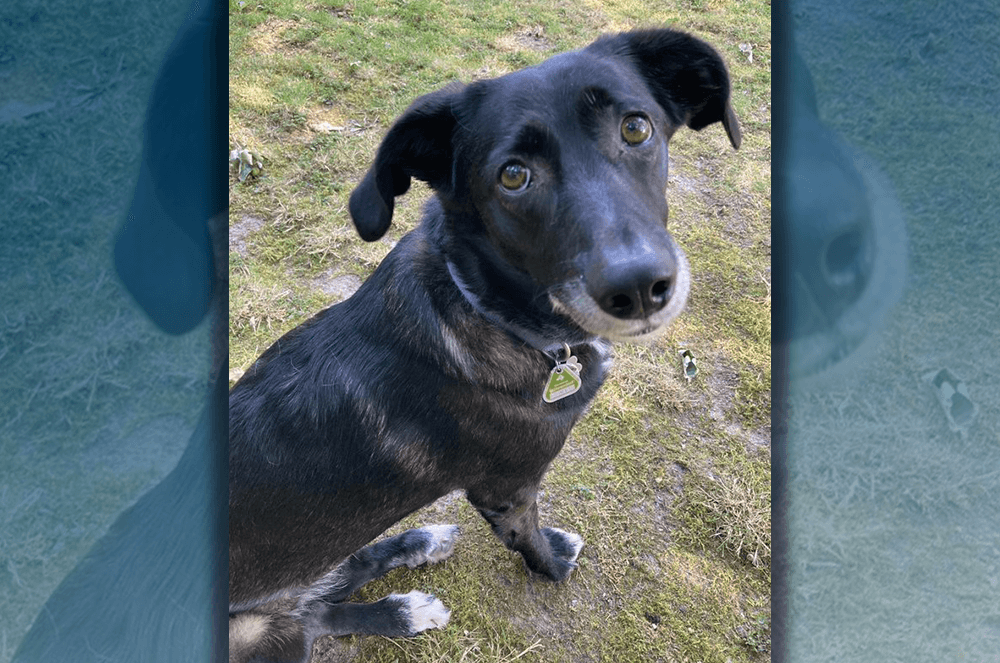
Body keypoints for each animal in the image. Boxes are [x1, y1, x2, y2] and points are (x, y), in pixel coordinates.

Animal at [230, 27, 740, 663]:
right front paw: (553, 566)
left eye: (635, 128)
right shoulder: (507, 489)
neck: (486, 307)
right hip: (256, 625)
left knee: (329, 590)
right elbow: (529, 541)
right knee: (316, 616)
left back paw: (415, 555)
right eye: (513, 175)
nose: (640, 288)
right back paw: (401, 607)